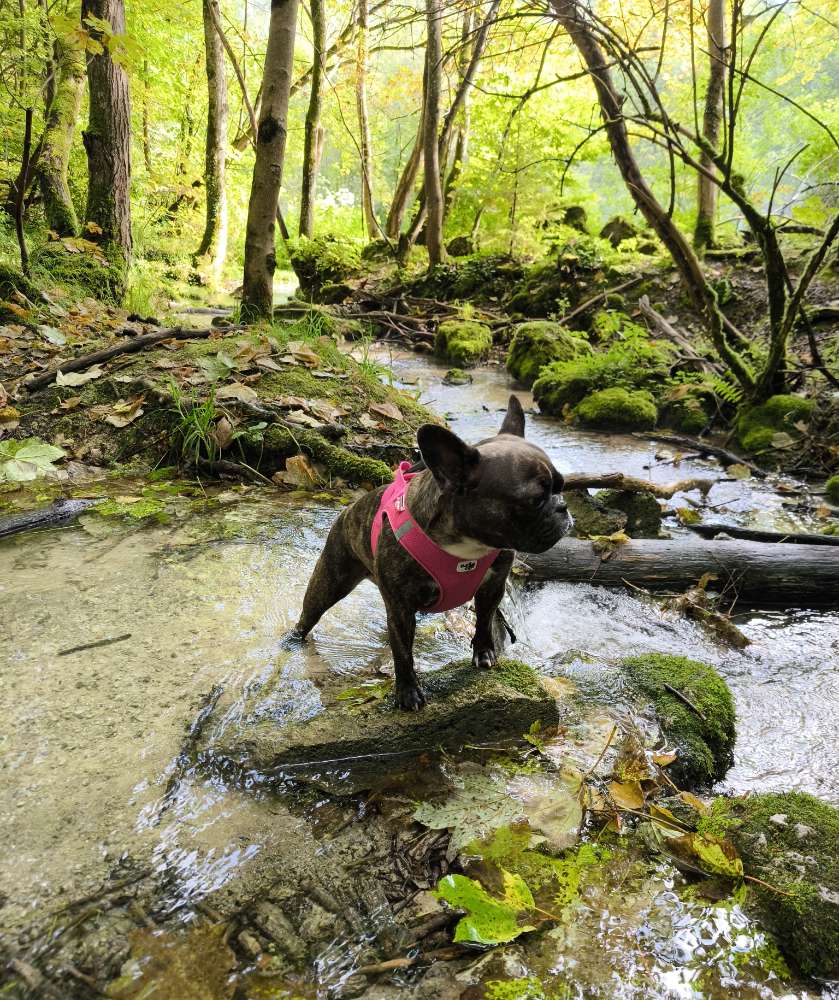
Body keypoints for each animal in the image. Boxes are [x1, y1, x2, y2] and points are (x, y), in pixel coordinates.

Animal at [292, 394, 576, 708]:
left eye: (562, 485)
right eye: (535, 500)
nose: (562, 506)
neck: (468, 544)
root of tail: (349, 509)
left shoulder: (493, 587)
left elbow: (484, 620)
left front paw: (484, 652)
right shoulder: (400, 607)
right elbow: (403, 653)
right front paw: (408, 692)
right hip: (331, 580)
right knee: (310, 614)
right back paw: (293, 639)